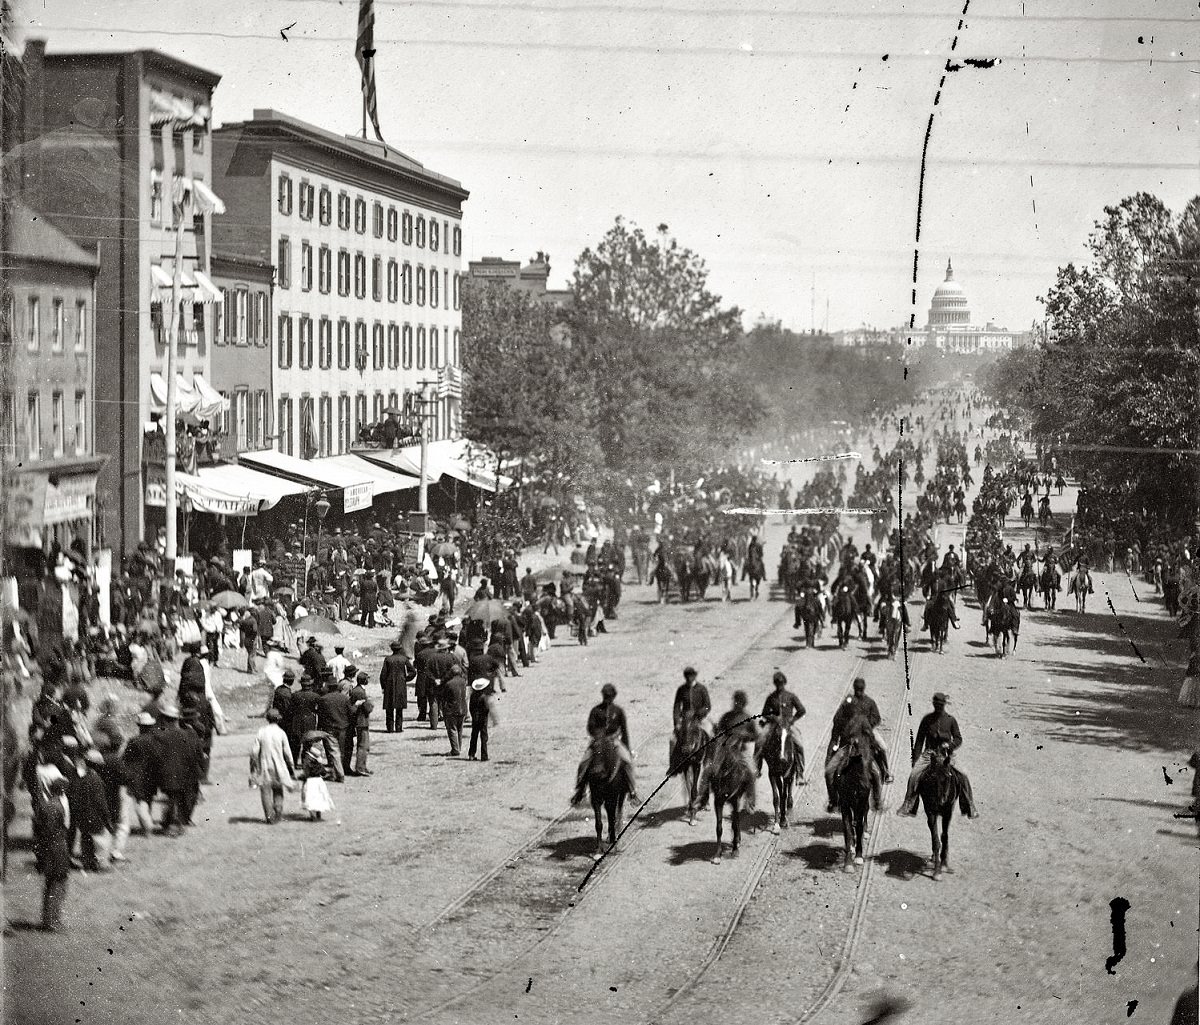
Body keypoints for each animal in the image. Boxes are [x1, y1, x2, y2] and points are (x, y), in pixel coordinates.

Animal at [705, 739, 753, 868]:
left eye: (722, 757)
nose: (712, 776)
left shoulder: (735, 800)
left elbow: (735, 824)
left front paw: (735, 850)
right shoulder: (718, 801)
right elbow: (719, 828)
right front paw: (717, 855)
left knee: (737, 820)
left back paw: (737, 842)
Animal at [916, 744, 955, 878]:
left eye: (948, 776)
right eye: (933, 777)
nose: (941, 802)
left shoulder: (948, 812)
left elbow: (945, 836)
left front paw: (945, 864)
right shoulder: (931, 812)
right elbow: (936, 839)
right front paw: (937, 871)